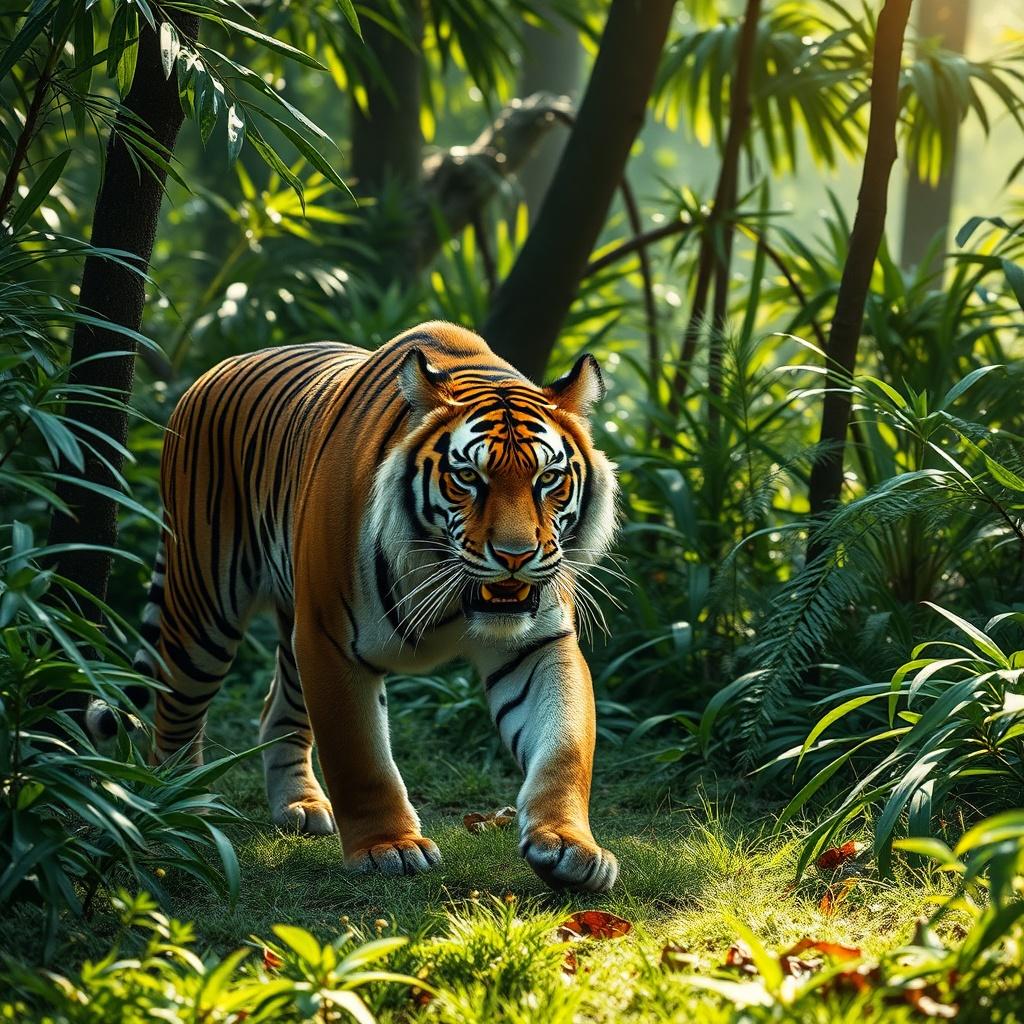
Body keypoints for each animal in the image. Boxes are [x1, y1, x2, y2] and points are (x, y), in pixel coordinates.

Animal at [102, 321, 620, 892]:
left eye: (548, 479)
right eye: (468, 478)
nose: (515, 556)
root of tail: (213, 370)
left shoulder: (538, 644)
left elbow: (565, 746)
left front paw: (569, 846)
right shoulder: (330, 640)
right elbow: (359, 756)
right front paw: (388, 847)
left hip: (291, 627)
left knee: (276, 708)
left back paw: (299, 806)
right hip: (204, 607)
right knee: (176, 705)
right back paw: (179, 804)